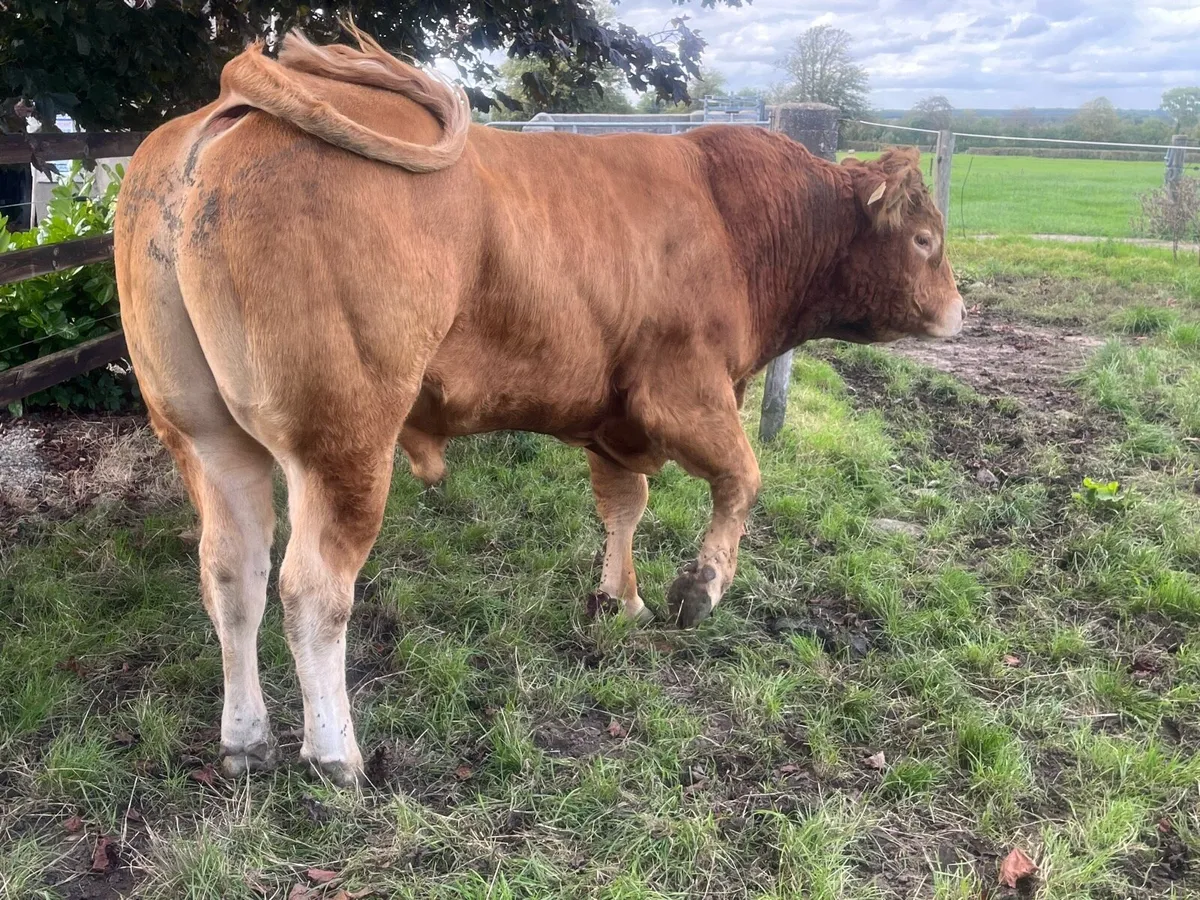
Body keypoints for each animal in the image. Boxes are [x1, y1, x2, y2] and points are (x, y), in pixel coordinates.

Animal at [113, 26, 964, 786]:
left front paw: (623, 598)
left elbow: (625, 504)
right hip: (343, 438)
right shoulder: (684, 388)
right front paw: (699, 587)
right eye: (925, 239)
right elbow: (744, 478)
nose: (959, 312)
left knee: (233, 574)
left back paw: (246, 743)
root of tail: (229, 112)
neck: (737, 221)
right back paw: (335, 757)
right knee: (312, 590)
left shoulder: (616, 416)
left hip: (206, 435)